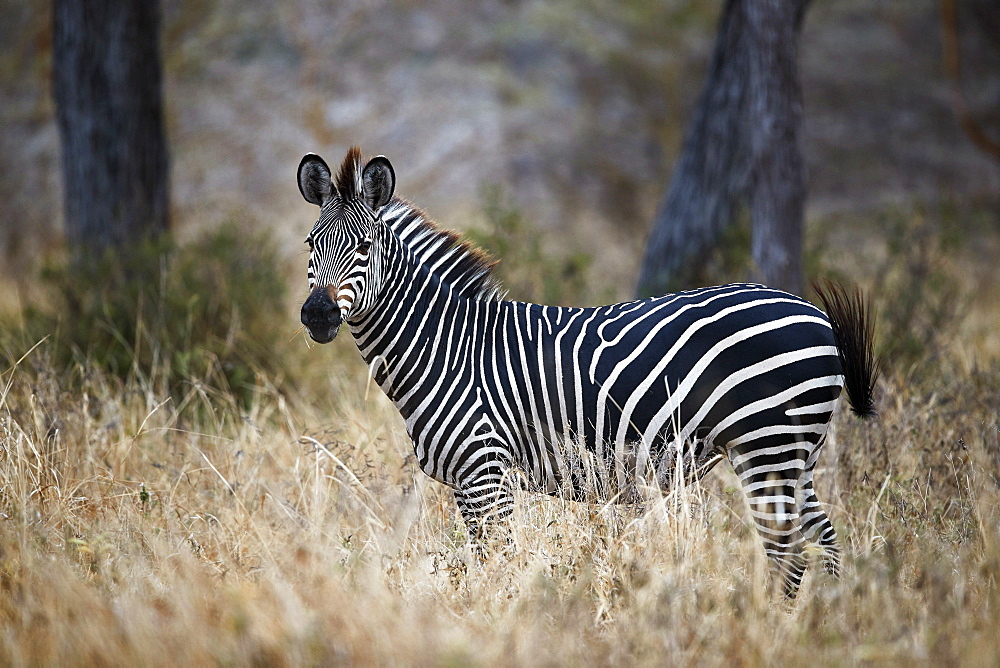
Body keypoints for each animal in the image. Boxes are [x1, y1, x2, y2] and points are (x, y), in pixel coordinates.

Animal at [294, 149, 876, 596]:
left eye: (364, 247)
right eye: (310, 245)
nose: (317, 315)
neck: (447, 346)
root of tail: (814, 312)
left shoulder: (485, 472)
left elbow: (498, 563)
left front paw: (501, 618)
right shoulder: (471, 481)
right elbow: (488, 561)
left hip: (769, 445)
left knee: (788, 550)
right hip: (795, 451)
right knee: (822, 540)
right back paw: (823, 618)